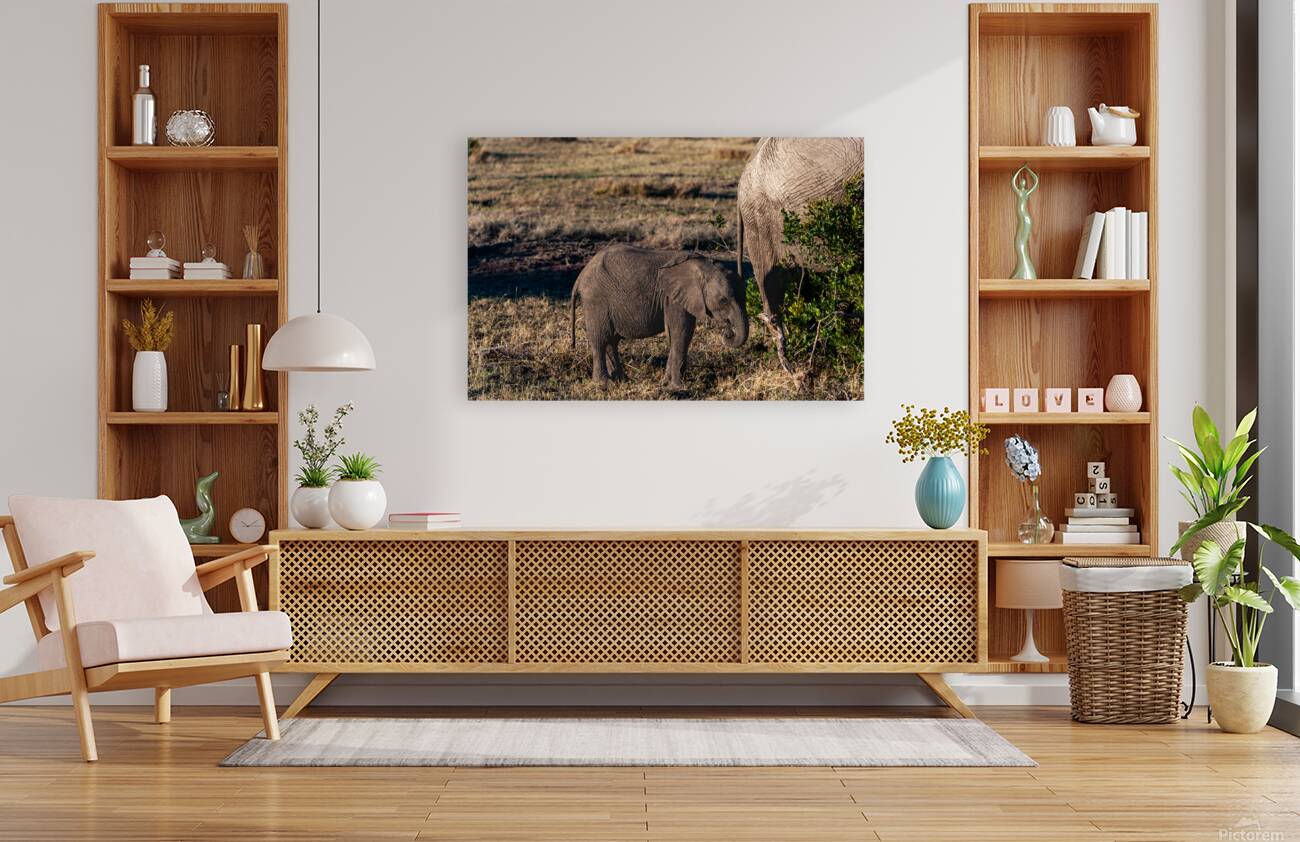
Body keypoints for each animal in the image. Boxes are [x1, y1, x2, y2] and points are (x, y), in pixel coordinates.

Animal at [569, 244, 748, 388]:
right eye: (723, 300)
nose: (728, 331)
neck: (703, 266)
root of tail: (580, 276)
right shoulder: (672, 298)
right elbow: (680, 332)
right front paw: (677, 386)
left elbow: (681, 334)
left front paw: (666, 383)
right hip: (595, 301)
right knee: (600, 340)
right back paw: (603, 384)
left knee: (611, 341)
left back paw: (621, 380)